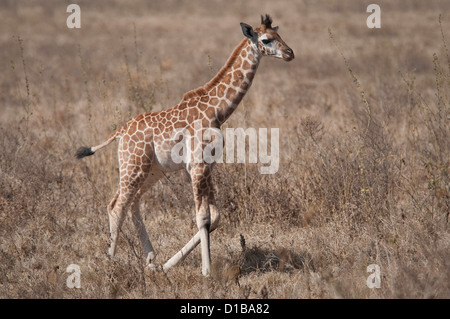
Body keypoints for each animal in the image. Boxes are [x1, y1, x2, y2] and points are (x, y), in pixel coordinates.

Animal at [76, 14, 296, 278]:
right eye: (266, 39)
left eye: (279, 34)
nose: (290, 53)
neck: (217, 111)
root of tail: (119, 132)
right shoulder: (197, 165)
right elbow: (203, 218)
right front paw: (206, 272)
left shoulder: (207, 166)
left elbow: (215, 217)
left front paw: (169, 265)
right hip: (133, 166)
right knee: (116, 205)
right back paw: (110, 262)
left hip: (152, 171)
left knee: (133, 203)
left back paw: (151, 260)